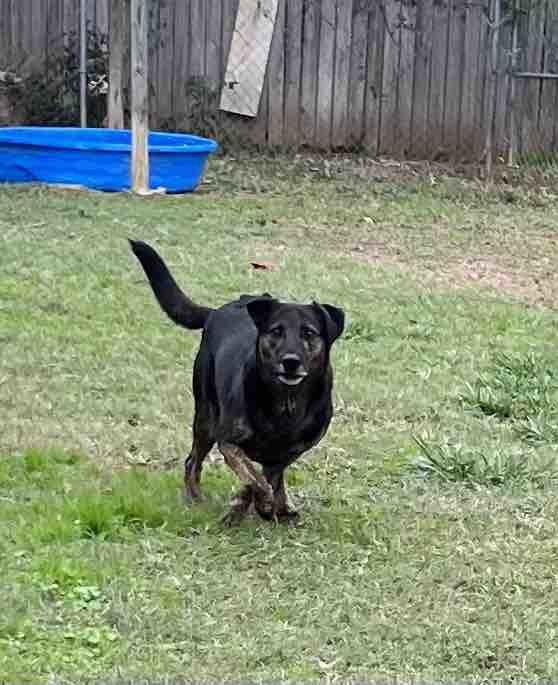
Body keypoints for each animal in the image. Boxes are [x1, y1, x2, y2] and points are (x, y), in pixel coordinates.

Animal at [130, 240, 346, 524]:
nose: (290, 361)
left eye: (308, 333)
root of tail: (217, 312)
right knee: (192, 461)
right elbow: (253, 477)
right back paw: (195, 497)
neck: (286, 404)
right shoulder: (228, 441)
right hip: (206, 418)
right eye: (276, 331)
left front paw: (263, 505)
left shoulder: (289, 453)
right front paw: (254, 505)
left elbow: (264, 477)